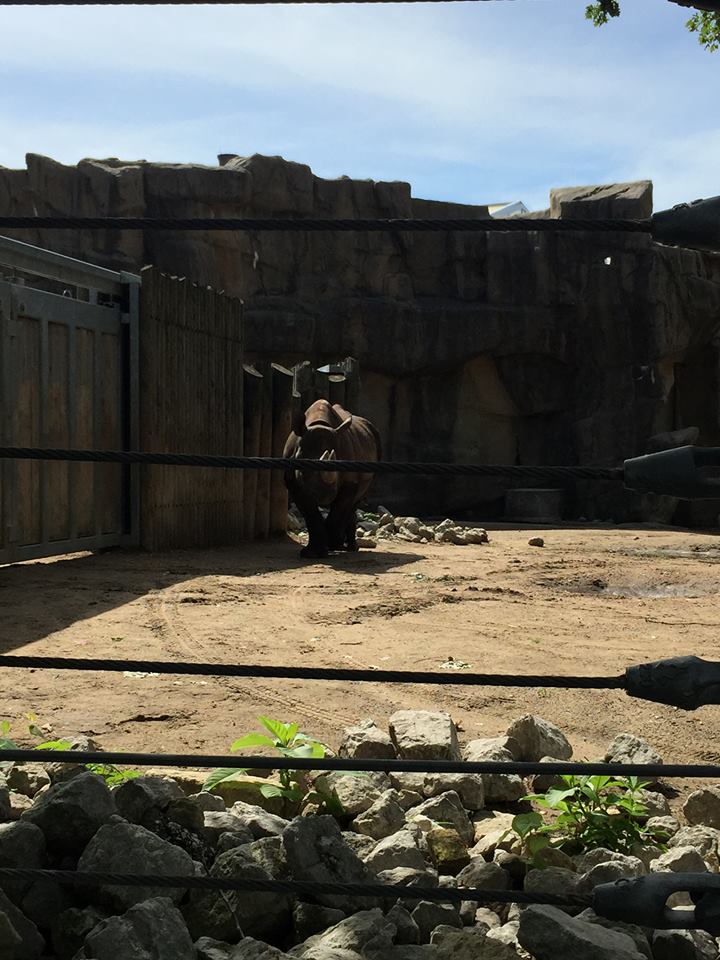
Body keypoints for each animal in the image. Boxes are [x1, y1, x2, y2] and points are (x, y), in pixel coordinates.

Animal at [283, 399, 381, 558]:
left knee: (354, 503)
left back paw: (347, 546)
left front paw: (331, 544)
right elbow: (310, 513)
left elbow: (339, 509)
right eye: (302, 462)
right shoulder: (294, 484)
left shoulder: (349, 480)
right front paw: (312, 553)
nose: (324, 495)